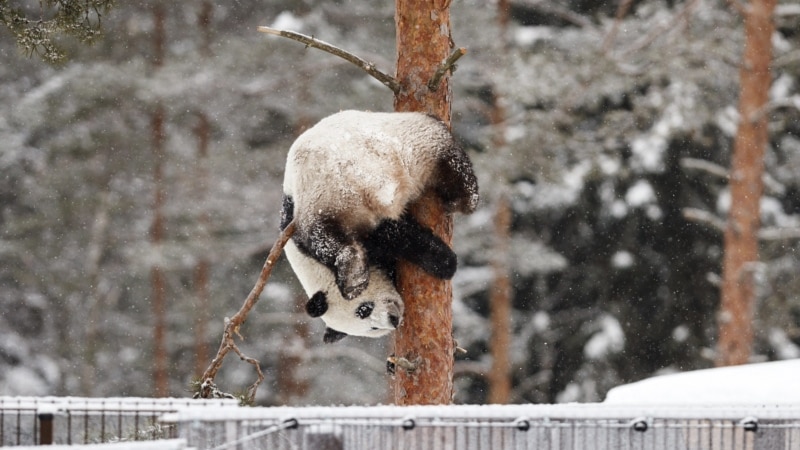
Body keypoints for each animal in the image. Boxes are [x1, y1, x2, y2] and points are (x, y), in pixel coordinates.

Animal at [282, 110, 478, 342]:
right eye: (372, 328)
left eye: (364, 309)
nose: (393, 320)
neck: (313, 271)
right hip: (409, 148)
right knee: (451, 165)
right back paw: (463, 201)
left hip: (319, 195)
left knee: (326, 237)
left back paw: (353, 278)